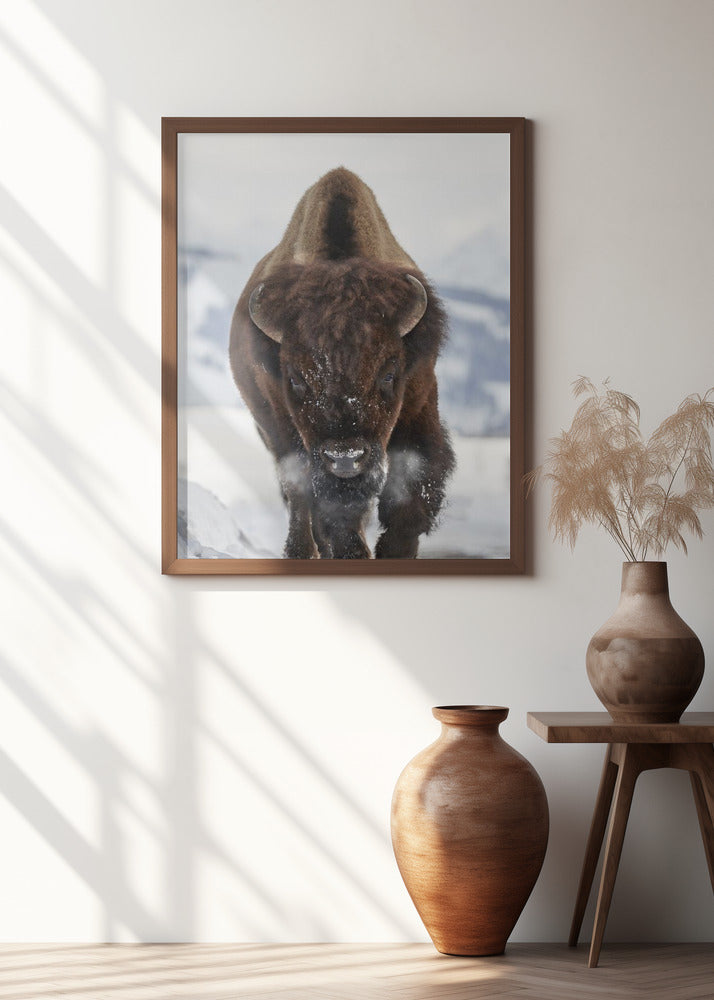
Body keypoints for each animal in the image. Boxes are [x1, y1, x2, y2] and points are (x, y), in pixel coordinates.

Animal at [229, 167, 454, 559]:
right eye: (296, 379)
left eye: (389, 374)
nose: (346, 458)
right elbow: (329, 507)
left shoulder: (419, 403)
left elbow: (413, 489)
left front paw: (394, 551)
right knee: (299, 497)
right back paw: (302, 551)